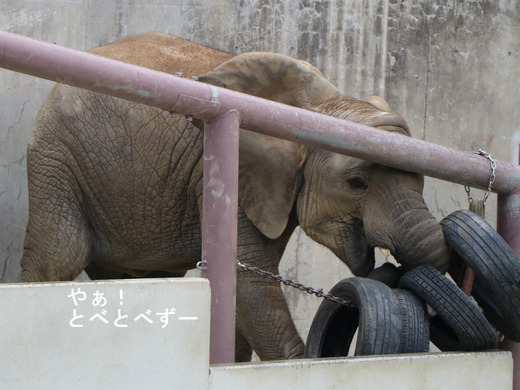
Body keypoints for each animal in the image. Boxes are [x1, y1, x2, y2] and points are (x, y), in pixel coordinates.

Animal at [20, 32, 450, 362]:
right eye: (356, 183)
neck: (321, 107)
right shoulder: (236, 171)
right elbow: (248, 279)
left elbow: (247, 288)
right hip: (55, 157)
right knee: (60, 255)